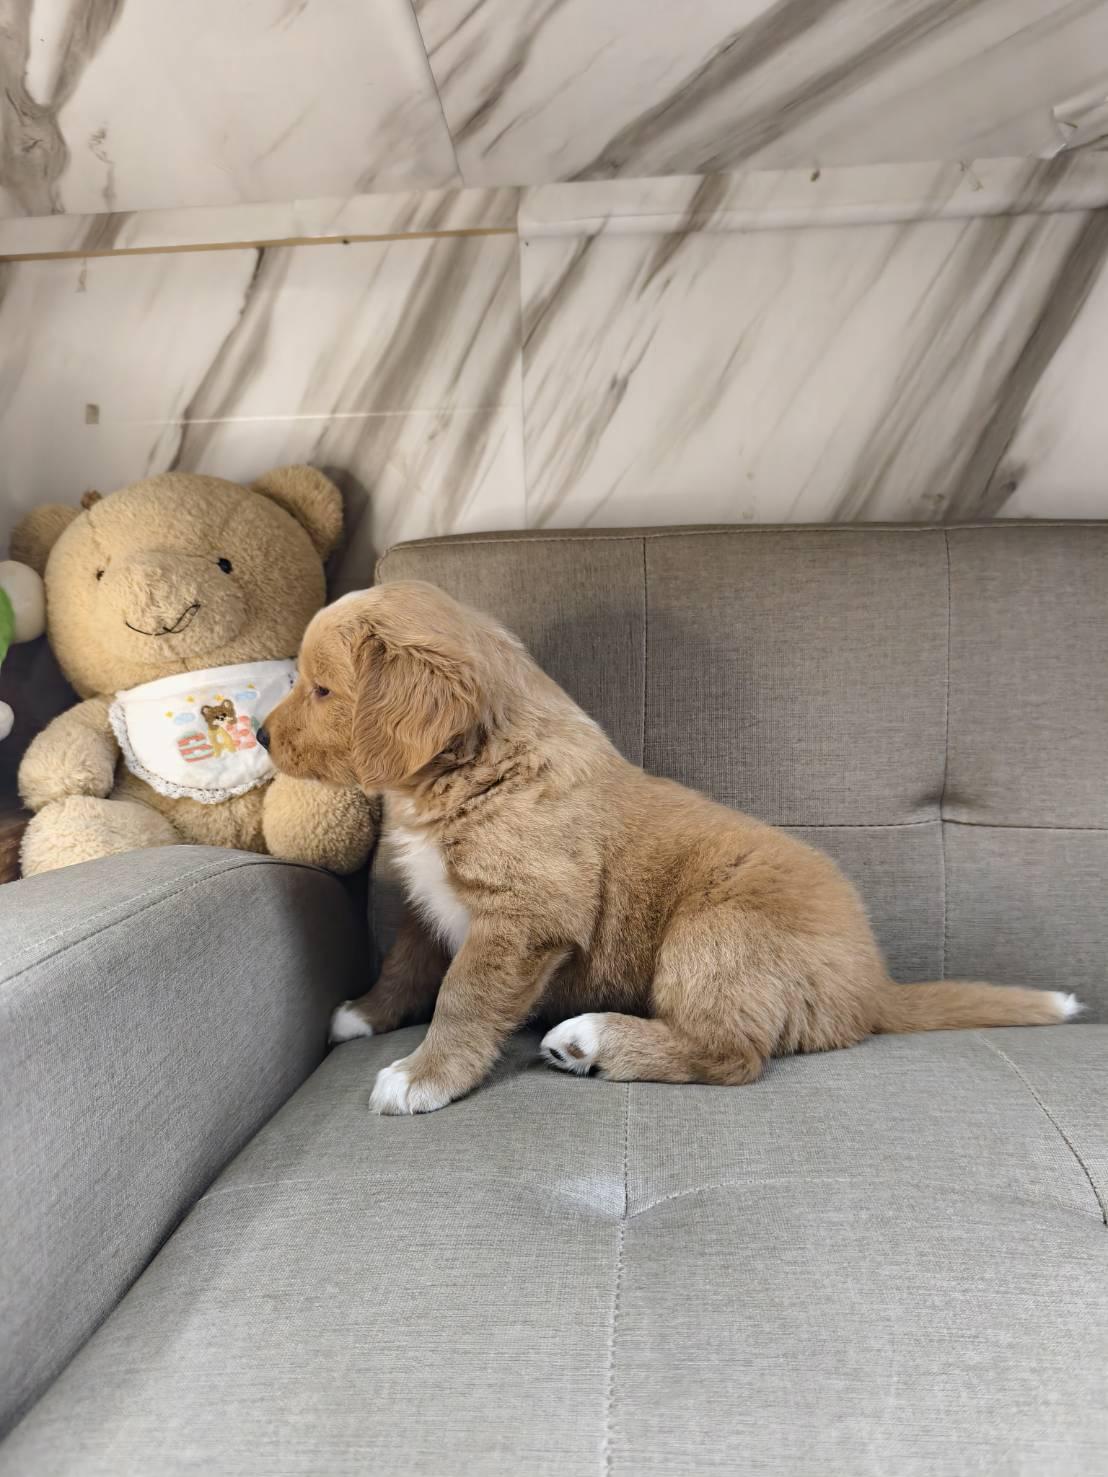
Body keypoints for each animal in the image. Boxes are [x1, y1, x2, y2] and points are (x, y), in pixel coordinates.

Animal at [260, 580, 1081, 1115]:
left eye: (323, 690)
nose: (262, 736)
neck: (481, 766)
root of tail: (873, 987)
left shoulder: (523, 918)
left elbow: (462, 997)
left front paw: (423, 1076)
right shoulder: (431, 906)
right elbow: (406, 963)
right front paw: (366, 1014)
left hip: (716, 933)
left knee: (731, 1054)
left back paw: (592, 1040)